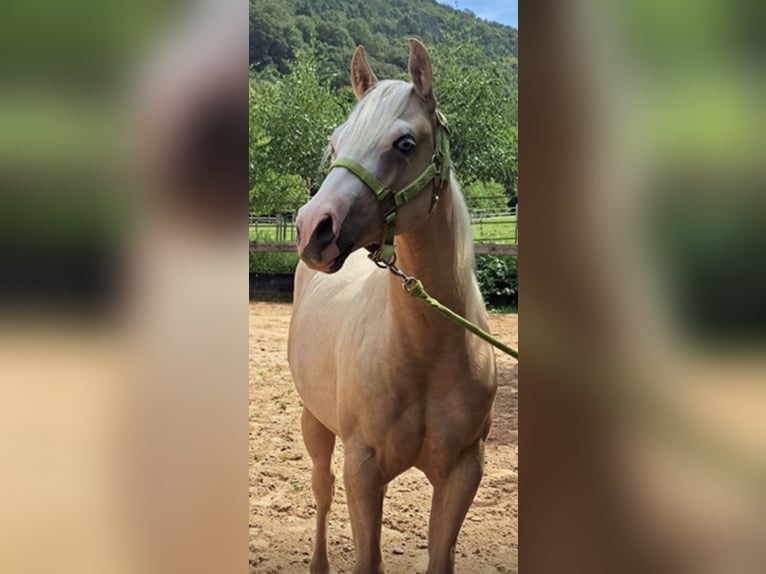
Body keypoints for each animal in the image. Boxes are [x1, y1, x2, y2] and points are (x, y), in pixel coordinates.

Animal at [288, 39, 498, 574]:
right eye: (336, 141)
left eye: (405, 143)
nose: (312, 228)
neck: (425, 352)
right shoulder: (362, 469)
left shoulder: (463, 471)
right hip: (315, 423)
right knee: (321, 492)